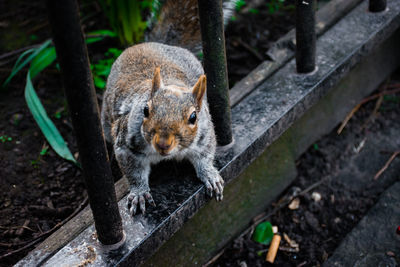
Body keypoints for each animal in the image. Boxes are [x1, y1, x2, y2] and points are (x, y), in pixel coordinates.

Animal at [101, 0, 238, 216]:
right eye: (145, 110)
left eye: (193, 117)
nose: (163, 143)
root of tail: (145, 44)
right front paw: (139, 192)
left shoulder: (205, 135)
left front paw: (210, 175)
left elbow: (205, 156)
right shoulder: (126, 143)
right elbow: (134, 172)